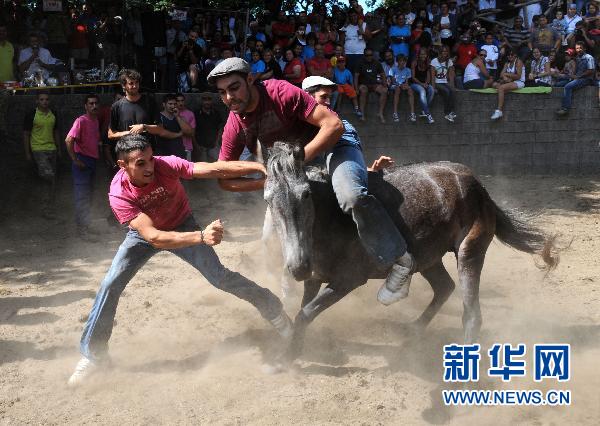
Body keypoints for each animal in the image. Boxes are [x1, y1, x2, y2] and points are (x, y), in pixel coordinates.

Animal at [262, 142, 556, 360]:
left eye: (305, 194)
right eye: (267, 199)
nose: (297, 266)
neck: (332, 216)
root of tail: (478, 186)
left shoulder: (348, 280)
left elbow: (306, 313)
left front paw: (284, 359)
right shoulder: (314, 277)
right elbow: (302, 311)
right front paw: (293, 350)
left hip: (469, 252)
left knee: (472, 316)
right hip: (428, 258)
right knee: (444, 287)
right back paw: (412, 330)